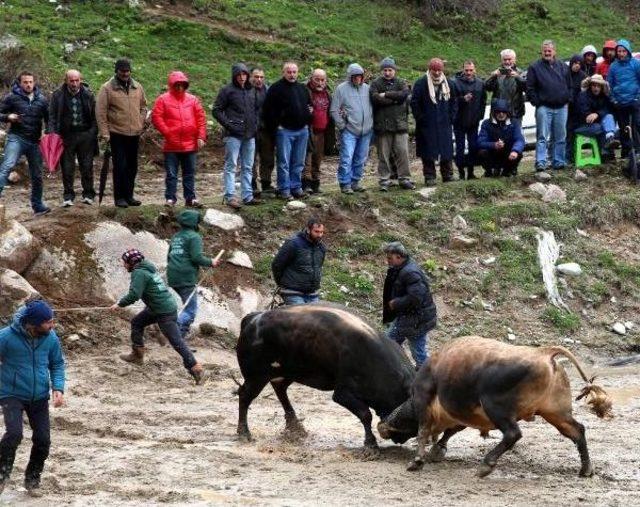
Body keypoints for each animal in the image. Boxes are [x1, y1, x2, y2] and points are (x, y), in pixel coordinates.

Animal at [235, 306, 416, 452]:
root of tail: (253, 318)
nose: (401, 439)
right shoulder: (343, 393)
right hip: (256, 376)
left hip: (288, 372)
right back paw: (244, 433)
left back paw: (295, 427)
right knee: (244, 396)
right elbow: (365, 414)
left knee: (280, 389)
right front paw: (370, 445)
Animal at [378, 340, 612, 478]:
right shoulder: (462, 414)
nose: (382, 426)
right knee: (577, 430)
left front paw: (417, 461)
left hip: (497, 408)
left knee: (513, 433)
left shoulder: (425, 400)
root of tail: (543, 353)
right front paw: (438, 450)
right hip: (556, 412)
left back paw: (486, 465)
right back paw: (586, 469)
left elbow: (424, 431)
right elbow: (450, 431)